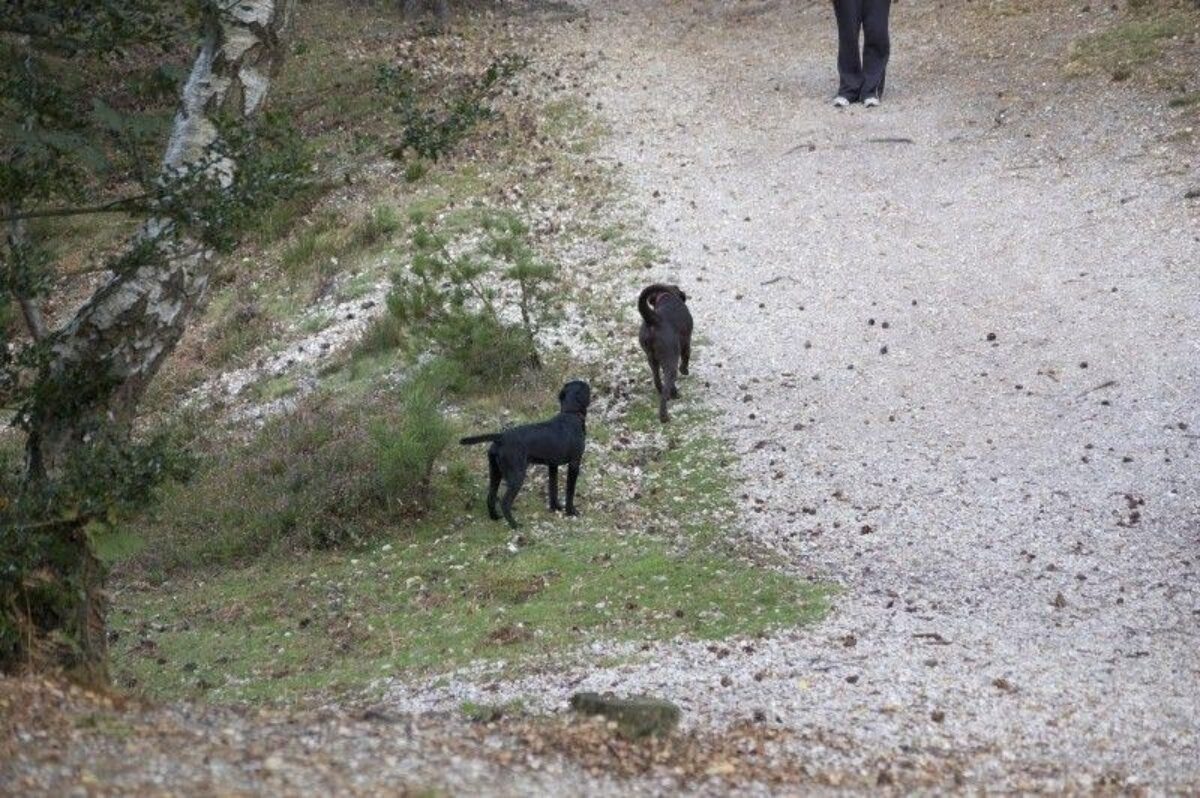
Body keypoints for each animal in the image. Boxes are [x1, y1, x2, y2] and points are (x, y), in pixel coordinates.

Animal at [458, 379, 590, 528]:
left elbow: (553, 488)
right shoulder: (574, 463)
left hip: (495, 472)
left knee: (491, 496)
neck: (570, 414)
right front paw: (571, 511)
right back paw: (515, 525)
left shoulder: (552, 466)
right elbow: (570, 491)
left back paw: (495, 517)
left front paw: (555, 507)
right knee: (504, 502)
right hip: (517, 475)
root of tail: (501, 437)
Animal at [638, 284, 696, 422]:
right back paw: (665, 413)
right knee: (668, 383)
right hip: (671, 359)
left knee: (658, 379)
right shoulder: (686, 341)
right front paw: (685, 371)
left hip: (651, 358)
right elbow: (686, 357)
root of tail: (653, 320)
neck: (666, 297)